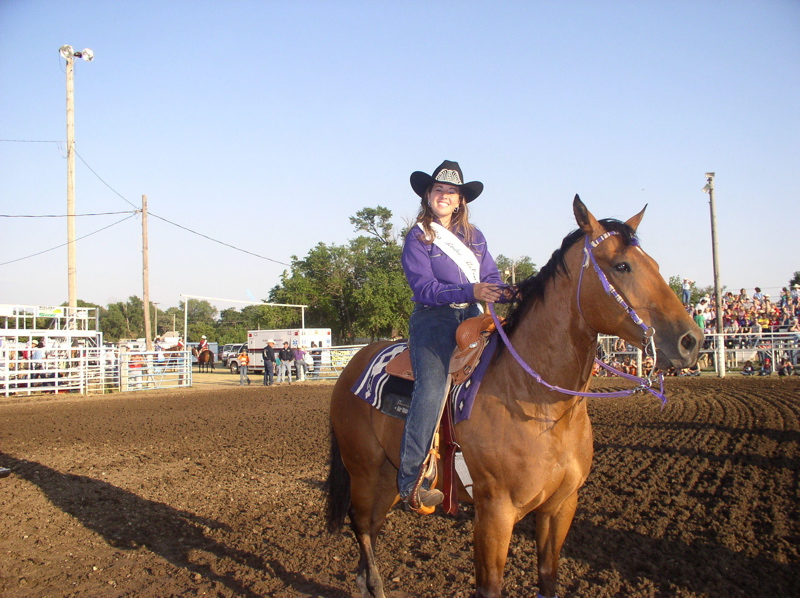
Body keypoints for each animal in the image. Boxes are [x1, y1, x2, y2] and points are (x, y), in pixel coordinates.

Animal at [324, 198, 700, 598]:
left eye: (655, 264)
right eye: (622, 265)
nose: (691, 341)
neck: (541, 406)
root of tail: (354, 364)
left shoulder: (560, 507)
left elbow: (548, 576)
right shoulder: (495, 513)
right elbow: (490, 586)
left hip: (388, 476)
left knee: (372, 526)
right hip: (364, 469)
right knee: (361, 523)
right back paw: (374, 584)